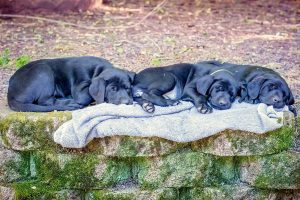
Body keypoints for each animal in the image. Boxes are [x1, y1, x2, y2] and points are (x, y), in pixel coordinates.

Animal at [7, 56, 135, 112]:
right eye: (113, 89)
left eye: (127, 88)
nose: (127, 102)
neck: (98, 70)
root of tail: (10, 95)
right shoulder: (80, 87)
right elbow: (85, 96)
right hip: (43, 70)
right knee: (45, 100)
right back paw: (70, 102)